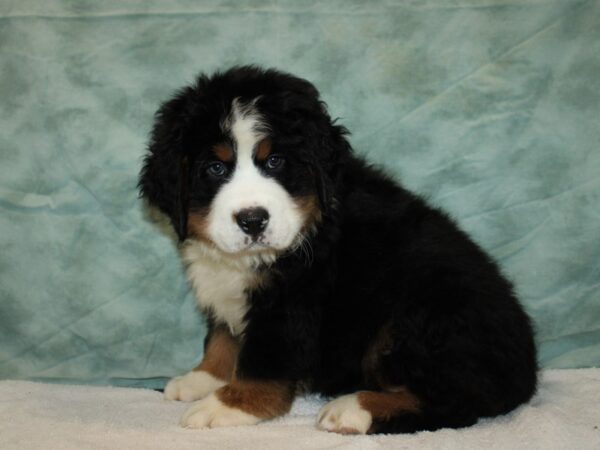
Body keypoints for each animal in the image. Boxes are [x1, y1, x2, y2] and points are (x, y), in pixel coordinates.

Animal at [141, 65, 540, 434]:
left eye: (275, 161)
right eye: (215, 168)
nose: (253, 221)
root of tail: (527, 371)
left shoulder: (291, 303)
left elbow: (261, 363)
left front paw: (227, 405)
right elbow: (222, 339)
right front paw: (203, 378)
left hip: (418, 316)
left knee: (455, 402)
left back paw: (352, 409)